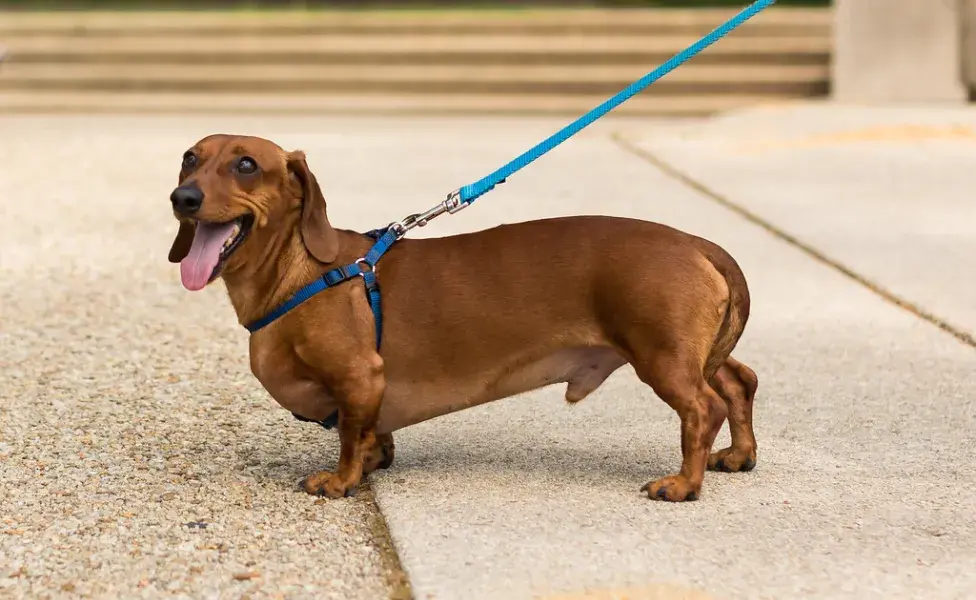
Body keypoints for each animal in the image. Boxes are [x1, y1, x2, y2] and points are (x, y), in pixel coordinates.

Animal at [170, 134, 764, 500]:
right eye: (189, 158)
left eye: (247, 164)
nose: (183, 197)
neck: (303, 272)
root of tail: (698, 242)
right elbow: (369, 435)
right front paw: (375, 460)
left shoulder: (359, 376)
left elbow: (349, 437)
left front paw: (341, 481)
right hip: (695, 354)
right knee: (740, 381)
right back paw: (739, 456)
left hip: (662, 356)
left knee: (703, 408)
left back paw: (683, 484)